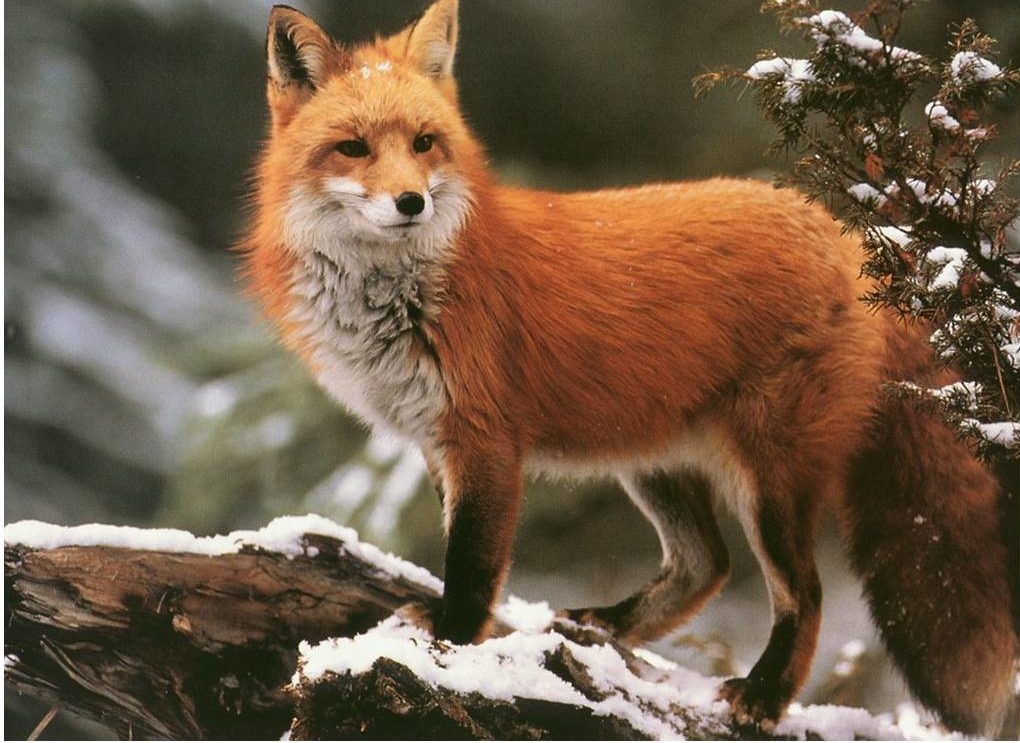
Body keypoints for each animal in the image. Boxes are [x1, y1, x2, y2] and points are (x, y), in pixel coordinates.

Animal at [240, 0, 1017, 734]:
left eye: (423, 143)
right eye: (353, 148)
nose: (411, 202)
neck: (402, 295)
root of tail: (851, 237)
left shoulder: (484, 441)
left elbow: (472, 566)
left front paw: (452, 646)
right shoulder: (436, 441)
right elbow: (462, 553)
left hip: (769, 477)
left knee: (805, 591)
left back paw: (764, 696)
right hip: (651, 459)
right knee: (707, 564)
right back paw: (608, 627)